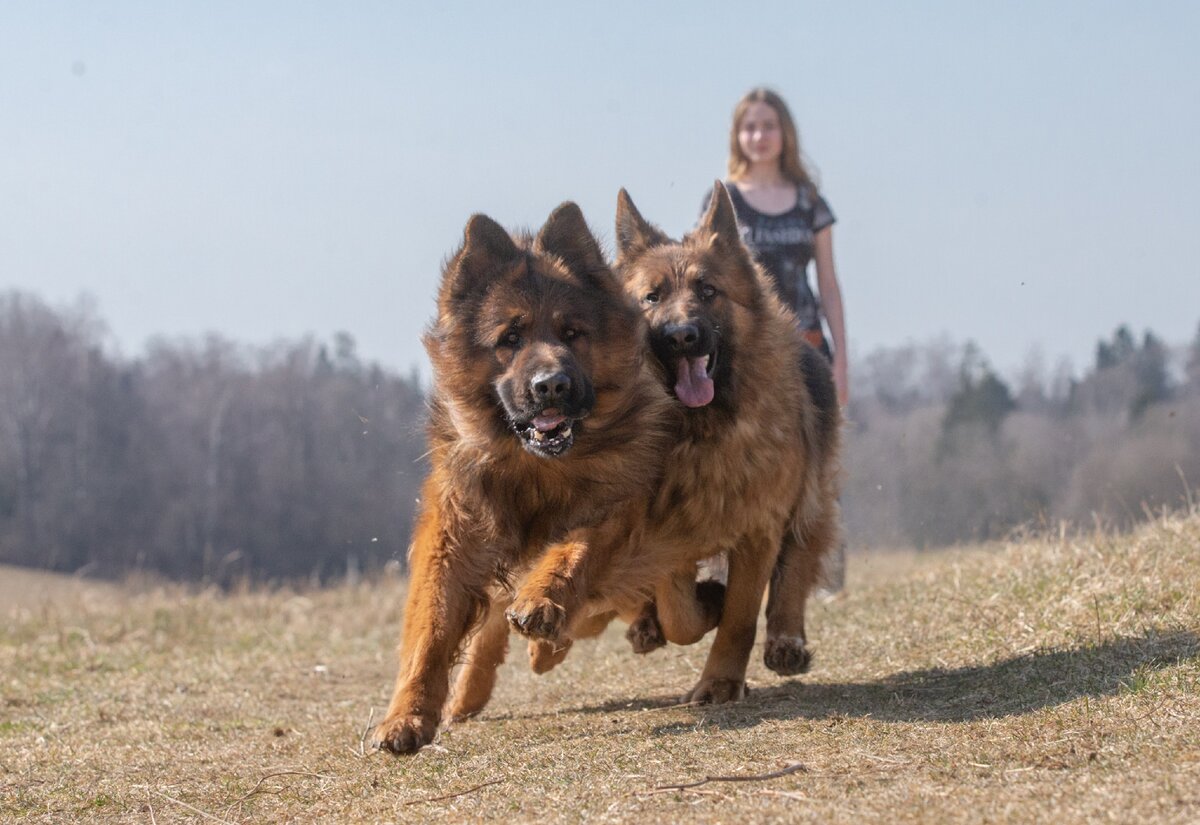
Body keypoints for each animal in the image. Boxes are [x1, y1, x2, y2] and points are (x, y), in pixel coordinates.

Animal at [374, 201, 676, 753]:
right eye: (510, 340)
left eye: (571, 332)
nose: (550, 385)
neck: (534, 467)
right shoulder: (453, 533)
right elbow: (432, 626)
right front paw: (407, 716)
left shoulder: (614, 500)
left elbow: (573, 549)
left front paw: (542, 600)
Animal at [511, 183, 840, 700]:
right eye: (652, 296)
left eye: (708, 291)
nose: (682, 336)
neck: (694, 431)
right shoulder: (638, 515)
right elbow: (670, 605)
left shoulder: (758, 527)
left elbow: (739, 616)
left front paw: (720, 680)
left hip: (808, 497)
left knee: (797, 562)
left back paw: (786, 638)